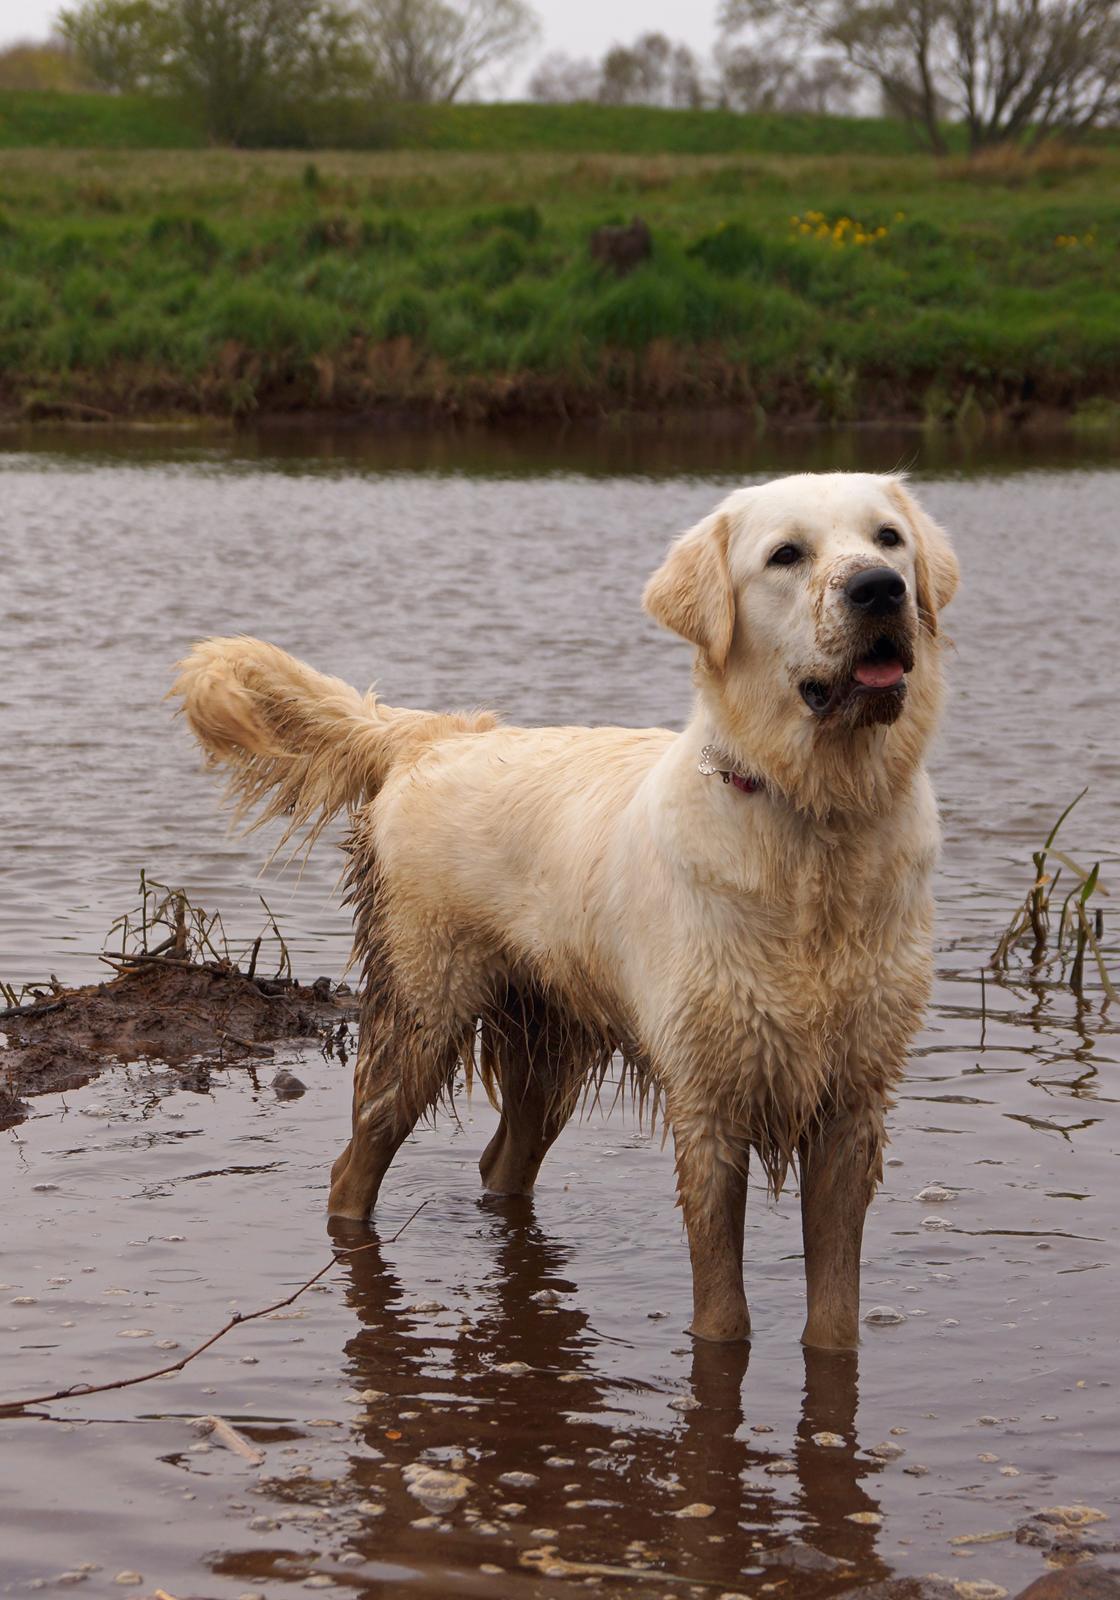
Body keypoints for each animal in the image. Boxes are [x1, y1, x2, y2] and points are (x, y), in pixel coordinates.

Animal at [170, 473, 960, 1350]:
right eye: (787, 554)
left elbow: (835, 1310)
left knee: (501, 1161)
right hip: (423, 1012)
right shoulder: (709, 1102)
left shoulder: (853, 1107)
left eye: (889, 539)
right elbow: (722, 1310)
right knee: (355, 1165)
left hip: (547, 1041)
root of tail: (434, 736)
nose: (880, 589)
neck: (815, 822)